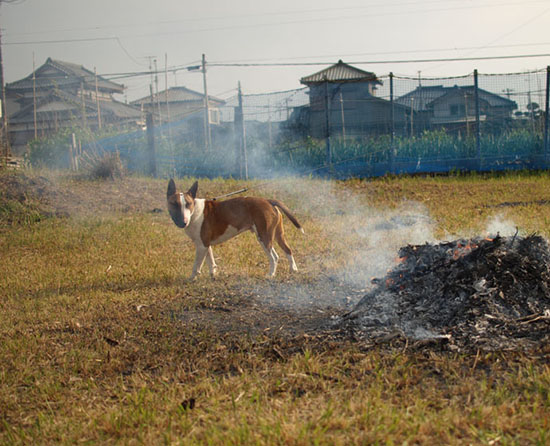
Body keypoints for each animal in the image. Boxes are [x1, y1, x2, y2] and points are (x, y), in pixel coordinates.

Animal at [168, 179, 306, 278]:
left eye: (188, 204)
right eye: (174, 204)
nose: (183, 222)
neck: (194, 211)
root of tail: (268, 200)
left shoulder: (201, 246)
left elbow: (196, 265)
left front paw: (192, 278)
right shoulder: (205, 244)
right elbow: (210, 261)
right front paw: (213, 274)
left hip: (264, 237)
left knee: (274, 257)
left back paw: (271, 274)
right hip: (277, 235)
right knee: (287, 250)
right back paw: (293, 269)